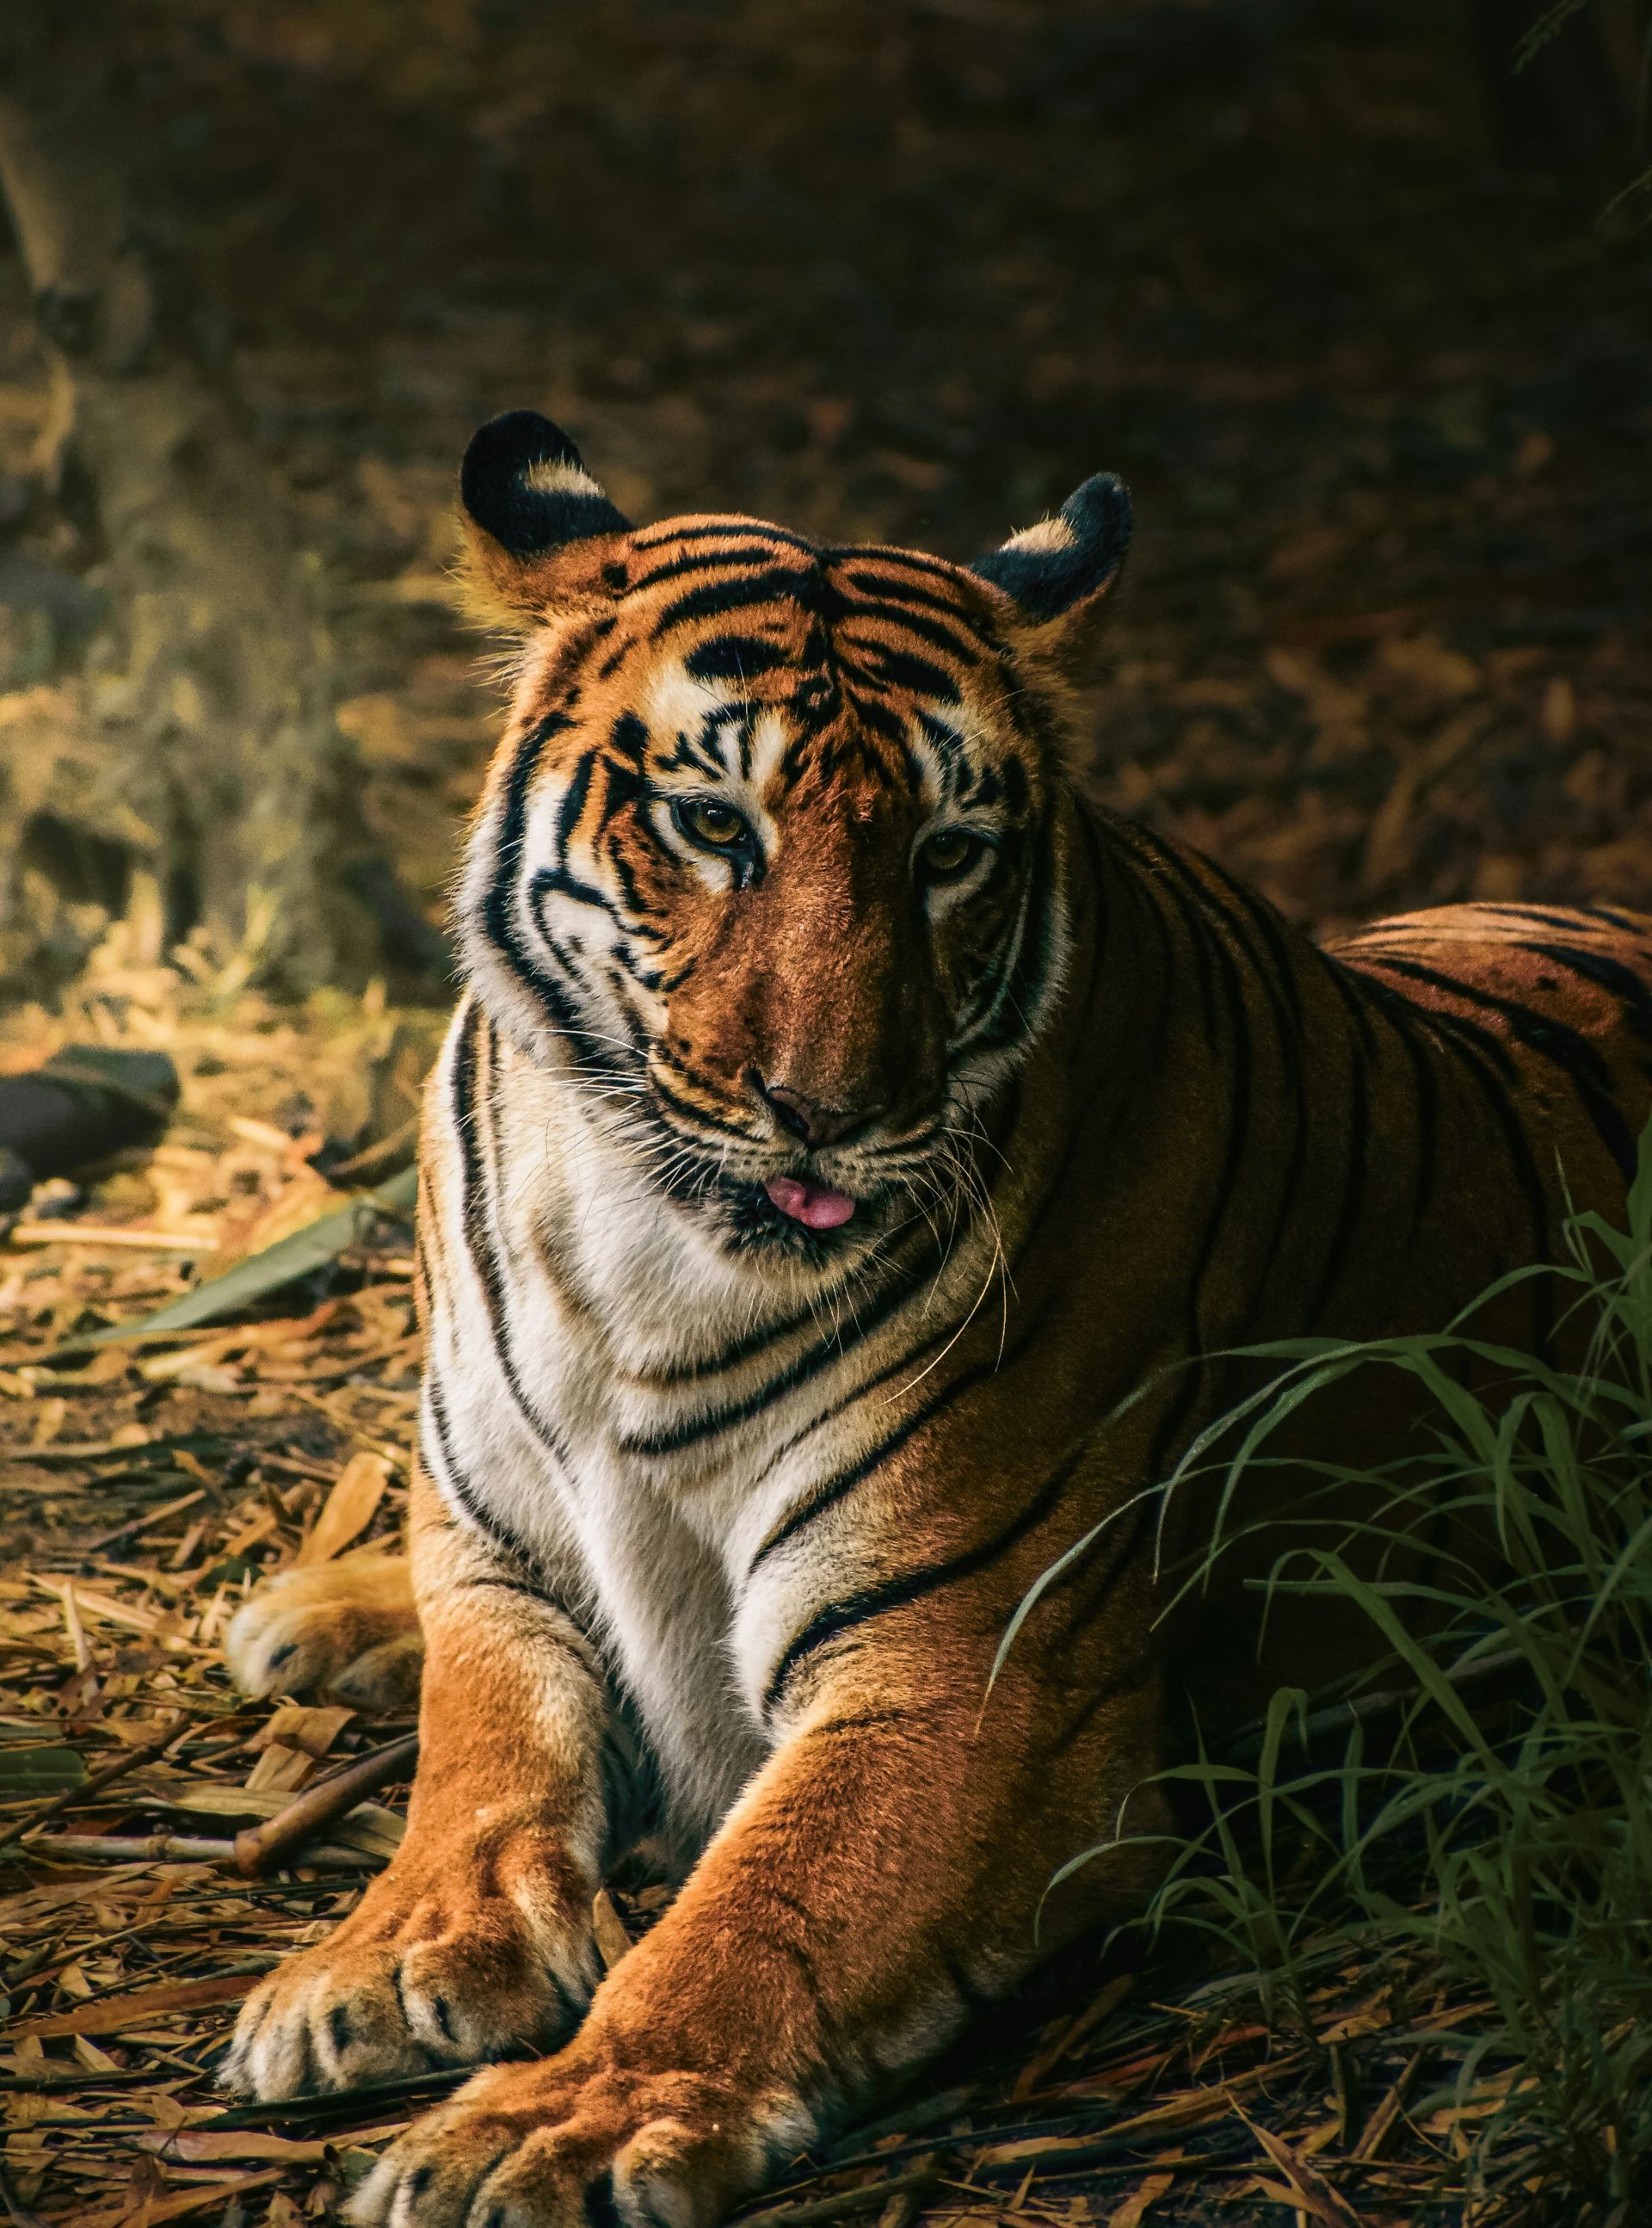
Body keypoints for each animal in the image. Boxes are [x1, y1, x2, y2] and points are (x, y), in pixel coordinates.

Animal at [222, 408, 1652, 2228]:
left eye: (948, 854)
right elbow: (473, 1760)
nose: (828, 1111)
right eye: (713, 825)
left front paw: (555, 2123)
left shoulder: (960, 1665)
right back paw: (312, 1608)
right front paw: (389, 1954)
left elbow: (750, 1920)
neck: (638, 1247)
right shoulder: (499, 1546)